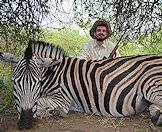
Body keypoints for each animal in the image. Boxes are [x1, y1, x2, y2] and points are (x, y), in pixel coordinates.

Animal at [0, 40, 162, 129]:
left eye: (38, 82)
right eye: (14, 82)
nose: (25, 124)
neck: (53, 73)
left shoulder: (63, 99)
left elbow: (41, 102)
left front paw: (53, 112)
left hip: (151, 83)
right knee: (155, 109)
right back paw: (155, 115)